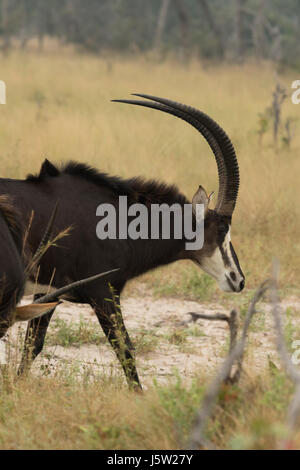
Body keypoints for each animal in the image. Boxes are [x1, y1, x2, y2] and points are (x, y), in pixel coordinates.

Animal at [0, 93, 244, 388]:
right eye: (222, 228)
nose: (238, 279)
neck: (117, 221)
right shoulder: (103, 293)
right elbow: (124, 349)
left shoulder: (48, 291)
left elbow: (32, 345)